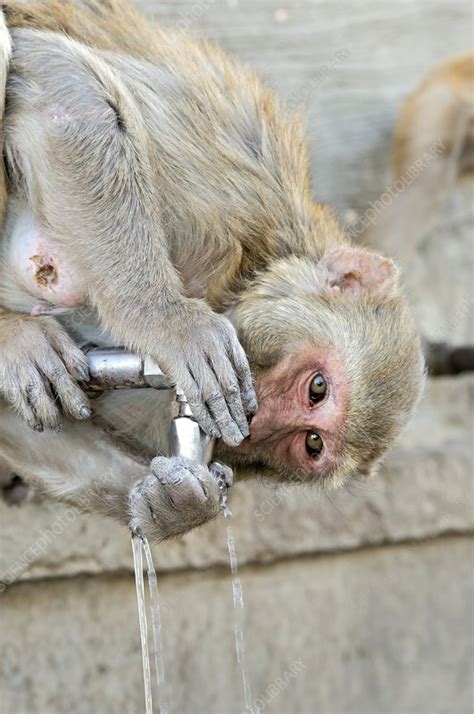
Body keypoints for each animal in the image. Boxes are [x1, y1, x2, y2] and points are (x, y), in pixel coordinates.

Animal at [0, 1, 424, 540]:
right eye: (318, 388)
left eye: (311, 443)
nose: (259, 418)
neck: (239, 281)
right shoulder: (220, 195)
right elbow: (66, 89)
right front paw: (165, 320)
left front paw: (175, 503)